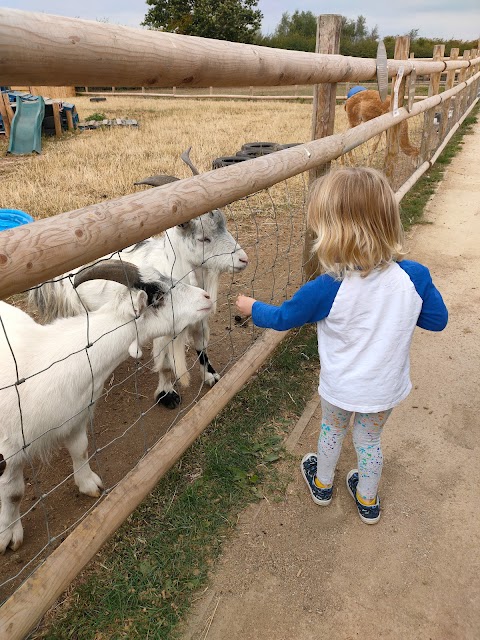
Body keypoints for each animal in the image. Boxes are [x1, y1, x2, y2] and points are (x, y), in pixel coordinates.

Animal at [0, 262, 212, 552]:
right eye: (158, 296)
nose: (206, 297)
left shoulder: (76, 418)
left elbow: (80, 450)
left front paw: (89, 485)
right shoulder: (8, 453)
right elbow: (13, 493)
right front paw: (9, 535)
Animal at [29, 149, 248, 408]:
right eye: (204, 238)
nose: (243, 259)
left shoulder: (196, 319)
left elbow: (201, 346)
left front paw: (211, 376)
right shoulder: (165, 326)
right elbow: (165, 364)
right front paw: (167, 394)